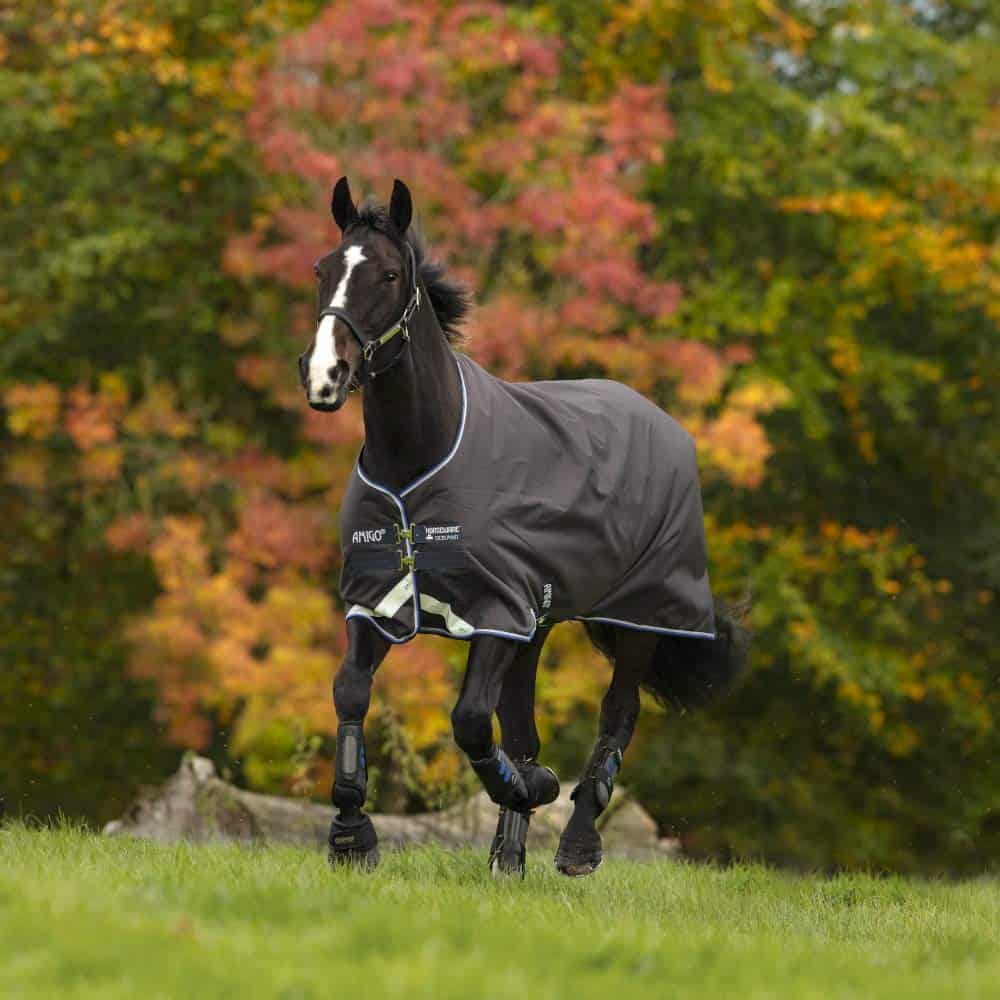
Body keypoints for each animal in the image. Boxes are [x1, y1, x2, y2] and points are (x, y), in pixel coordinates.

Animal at [297, 177, 747, 877]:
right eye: (322, 269)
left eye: (390, 275)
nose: (325, 375)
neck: (420, 458)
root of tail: (662, 421)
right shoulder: (379, 601)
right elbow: (351, 694)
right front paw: (352, 836)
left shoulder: (494, 611)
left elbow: (469, 720)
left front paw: (533, 788)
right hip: (538, 624)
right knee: (523, 724)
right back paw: (508, 852)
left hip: (638, 617)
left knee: (617, 715)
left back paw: (578, 842)